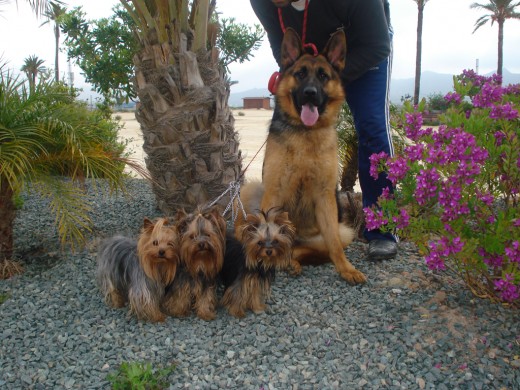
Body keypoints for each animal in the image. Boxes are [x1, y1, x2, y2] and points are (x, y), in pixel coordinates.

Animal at [242, 27, 364, 284]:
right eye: (300, 74)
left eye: (323, 76)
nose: (310, 93)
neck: (305, 133)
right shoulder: (274, 191)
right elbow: (267, 230)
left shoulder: (326, 196)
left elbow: (334, 245)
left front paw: (346, 269)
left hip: (342, 230)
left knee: (304, 249)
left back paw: (291, 261)